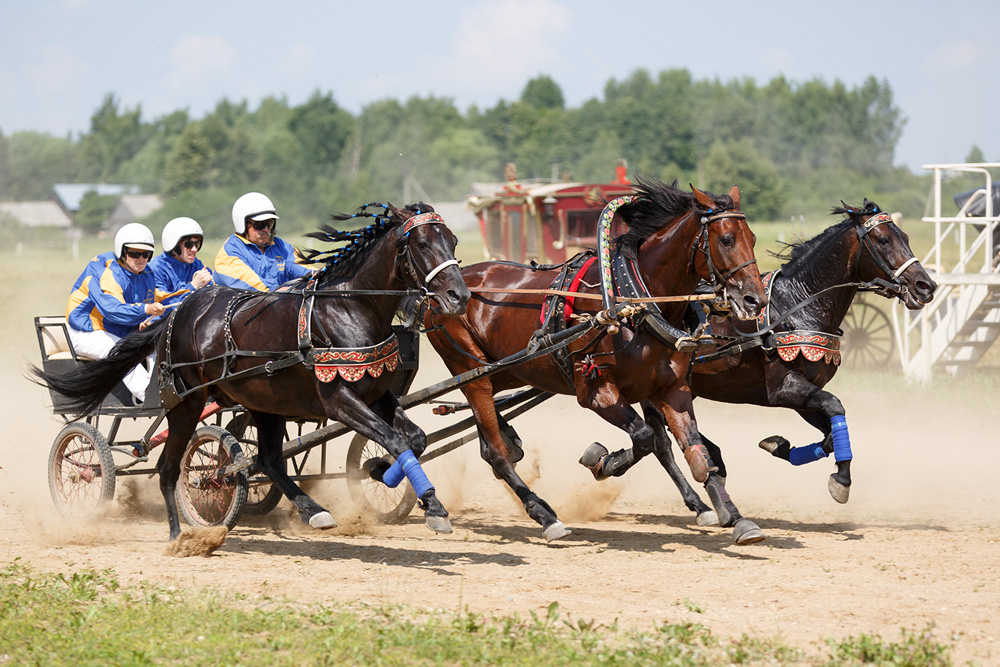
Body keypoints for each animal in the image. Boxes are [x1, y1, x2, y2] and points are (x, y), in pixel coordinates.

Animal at [31, 204, 468, 544]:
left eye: (453, 241)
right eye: (423, 244)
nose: (459, 296)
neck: (346, 308)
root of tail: (178, 313)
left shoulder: (377, 393)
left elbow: (414, 437)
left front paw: (383, 474)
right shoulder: (340, 400)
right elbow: (394, 438)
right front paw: (429, 504)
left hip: (263, 403)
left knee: (269, 459)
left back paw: (312, 510)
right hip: (186, 404)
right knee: (168, 468)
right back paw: (177, 533)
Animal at [422, 180, 764, 544]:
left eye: (753, 237)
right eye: (726, 239)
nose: (755, 300)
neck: (635, 303)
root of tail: (437, 293)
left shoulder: (672, 389)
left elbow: (695, 450)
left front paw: (736, 517)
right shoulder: (596, 391)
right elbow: (645, 438)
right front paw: (602, 461)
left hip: (503, 371)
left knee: (490, 444)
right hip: (470, 372)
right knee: (497, 454)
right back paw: (545, 515)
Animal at [584, 198, 932, 528]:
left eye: (905, 236)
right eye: (883, 239)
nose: (925, 286)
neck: (794, 307)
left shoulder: (804, 397)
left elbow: (831, 434)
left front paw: (780, 446)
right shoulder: (783, 389)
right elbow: (835, 406)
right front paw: (841, 481)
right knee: (662, 444)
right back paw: (695, 500)